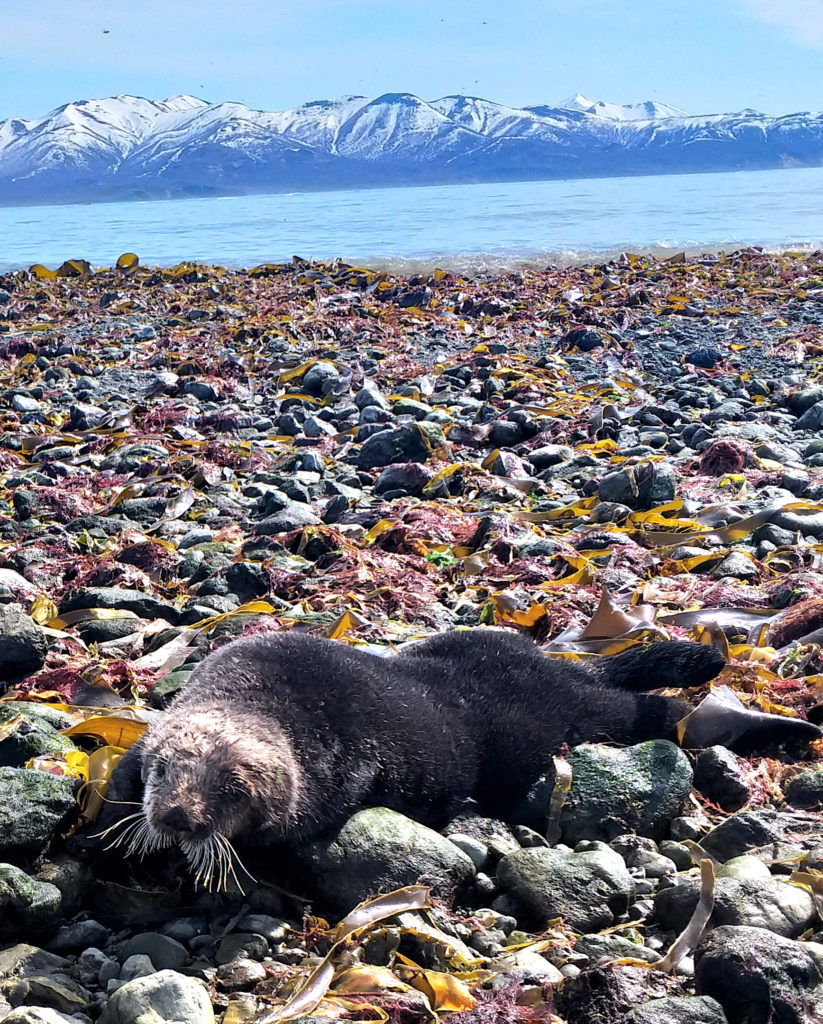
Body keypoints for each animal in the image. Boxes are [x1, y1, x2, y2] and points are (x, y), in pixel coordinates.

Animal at [94, 626, 814, 884]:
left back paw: (780, 724)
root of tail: (551, 664)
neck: (263, 699)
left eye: (231, 790)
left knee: (646, 711)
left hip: (551, 724)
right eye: (165, 771)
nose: (176, 817)